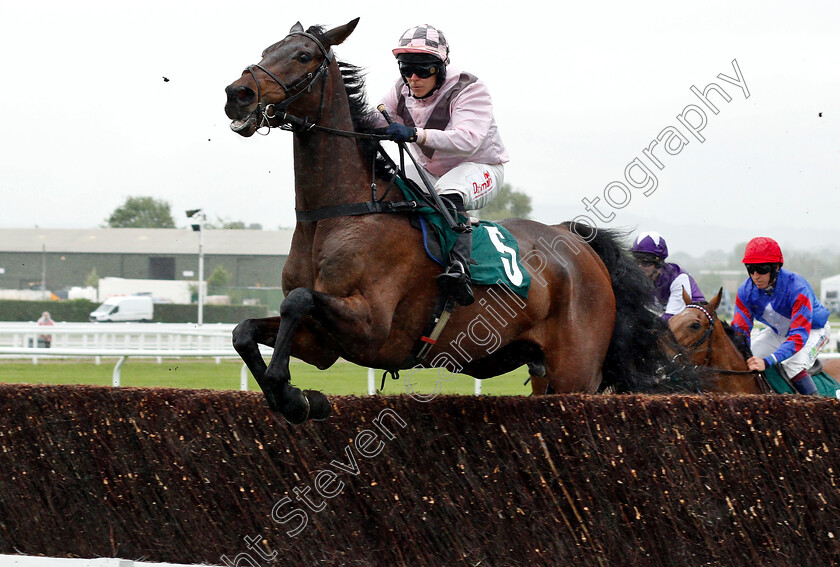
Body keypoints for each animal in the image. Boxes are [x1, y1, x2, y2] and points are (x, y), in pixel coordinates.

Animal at [225, 18, 668, 426]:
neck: (338, 214)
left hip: (576, 371)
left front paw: (292, 394)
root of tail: (574, 239)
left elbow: (297, 300)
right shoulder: (322, 343)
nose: (238, 94)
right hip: (540, 367)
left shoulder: (371, 326)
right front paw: (296, 398)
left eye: (303, 55)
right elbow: (245, 330)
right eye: (267, 50)